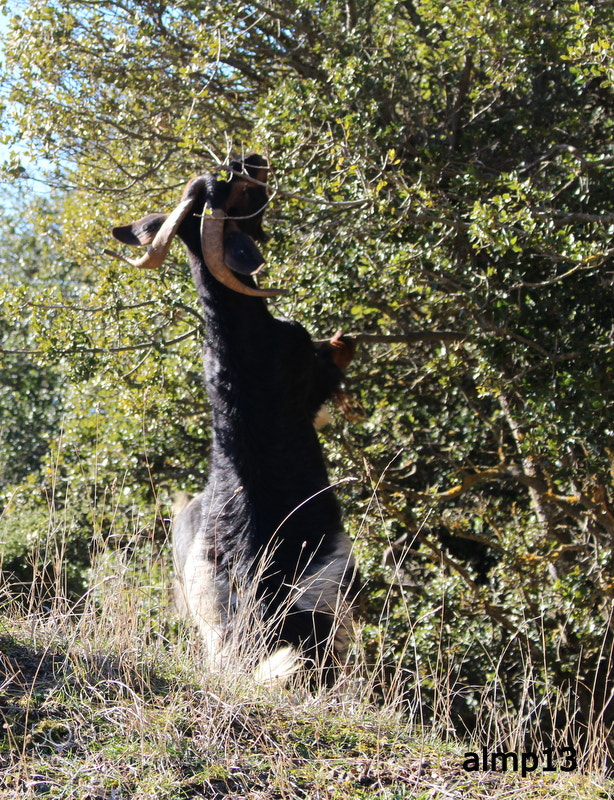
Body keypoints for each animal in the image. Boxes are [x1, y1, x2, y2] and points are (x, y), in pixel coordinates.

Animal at [110, 155, 359, 682]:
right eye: (233, 191)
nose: (252, 161)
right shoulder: (305, 368)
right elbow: (329, 367)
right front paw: (344, 341)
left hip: (215, 630)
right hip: (322, 614)